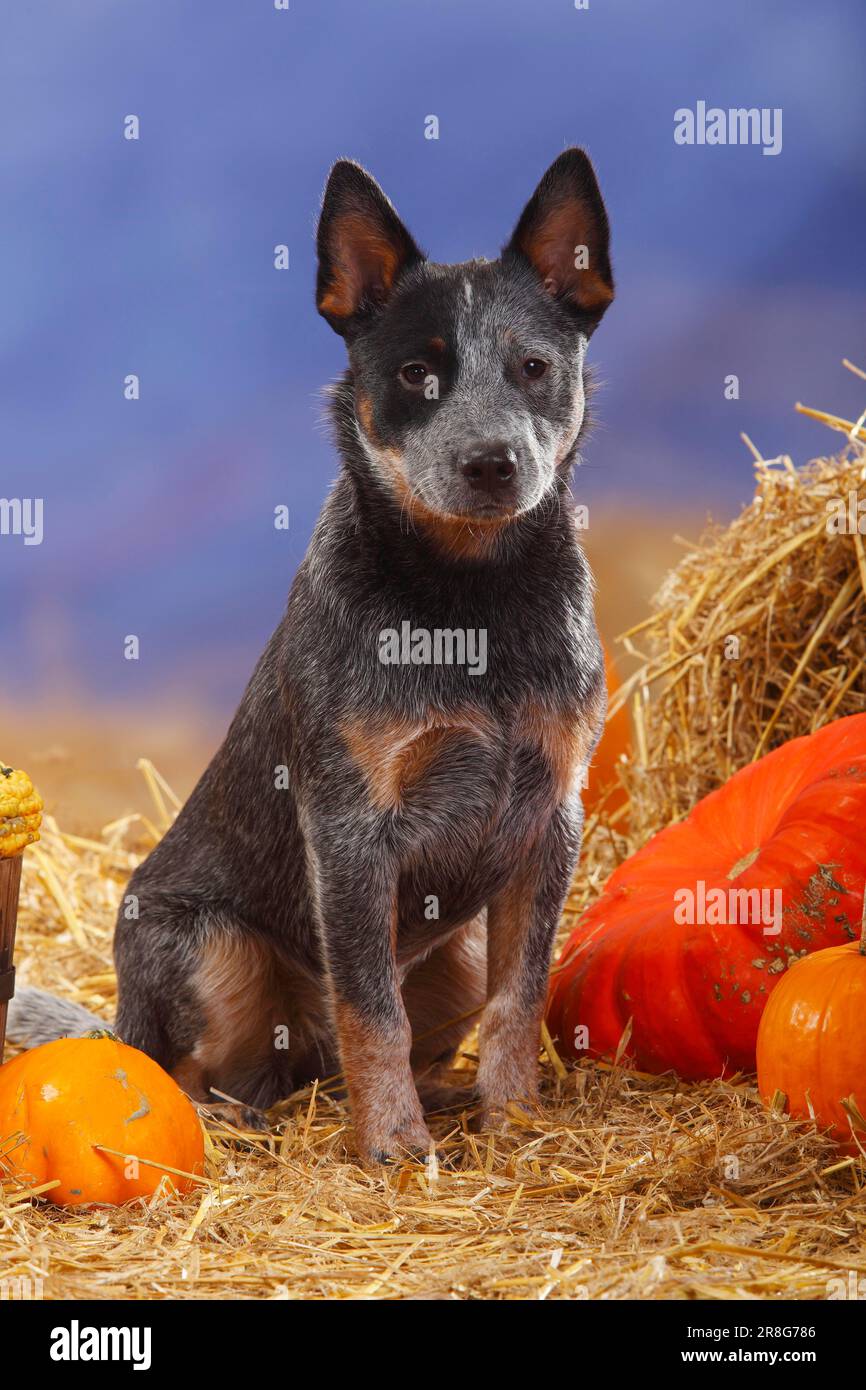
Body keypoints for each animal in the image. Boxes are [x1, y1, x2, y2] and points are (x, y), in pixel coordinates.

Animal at [10, 149, 614, 1162]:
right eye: (416, 373)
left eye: (532, 368)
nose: (491, 462)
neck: (472, 605)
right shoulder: (350, 826)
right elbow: (371, 1009)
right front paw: (394, 1148)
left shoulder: (548, 821)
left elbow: (518, 999)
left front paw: (515, 1120)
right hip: (208, 949)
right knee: (196, 1072)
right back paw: (243, 1119)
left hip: (458, 948)